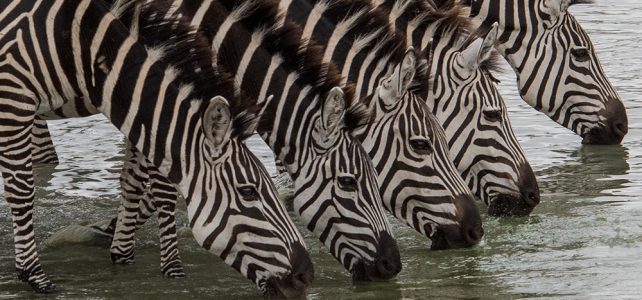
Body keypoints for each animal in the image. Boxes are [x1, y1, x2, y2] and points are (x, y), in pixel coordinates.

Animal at [0, 0, 312, 296]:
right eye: (248, 191)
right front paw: (34, 276)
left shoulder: (134, 114)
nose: (305, 275)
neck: (78, 39)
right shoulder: (14, 96)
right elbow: (22, 190)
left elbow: (133, 183)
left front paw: (123, 253)